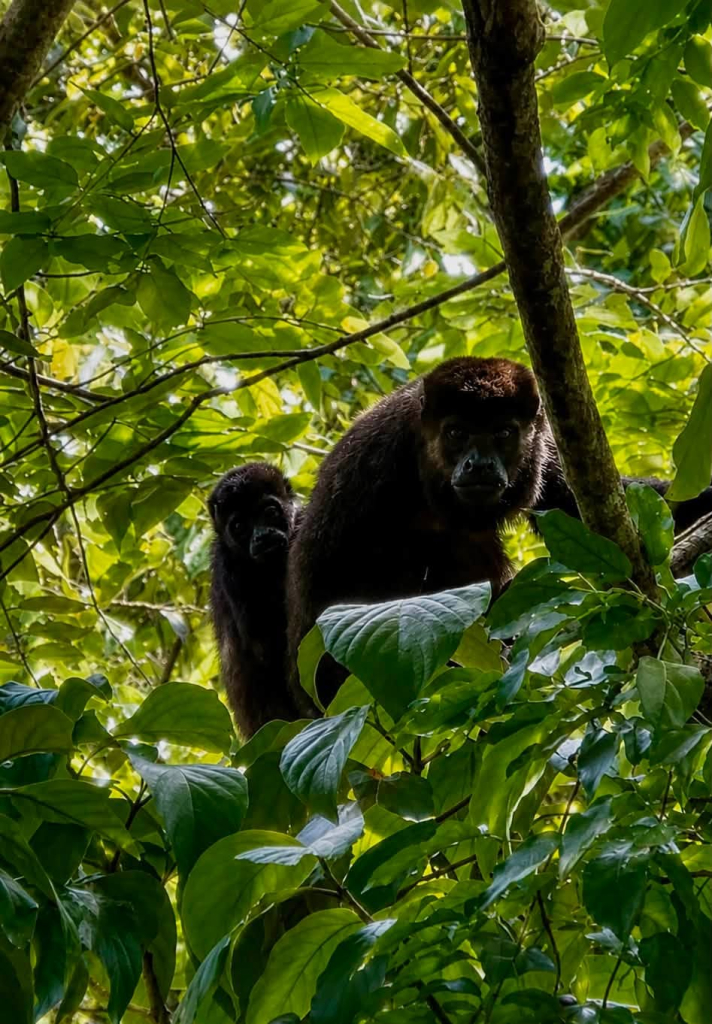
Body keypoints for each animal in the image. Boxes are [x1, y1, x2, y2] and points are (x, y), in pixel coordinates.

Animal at [286, 356, 712, 710]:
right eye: (456, 433)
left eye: (503, 433)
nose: (479, 464)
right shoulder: (370, 460)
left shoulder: (546, 449)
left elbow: (581, 505)